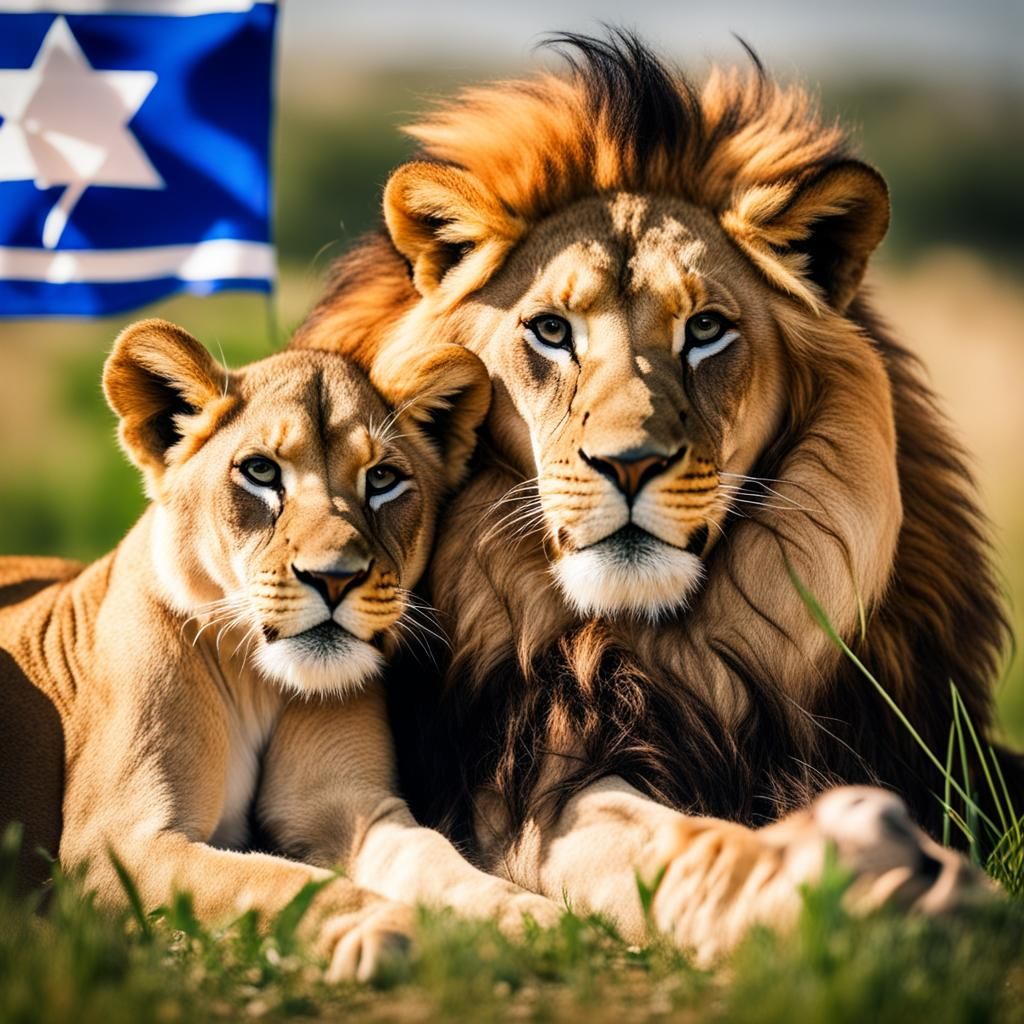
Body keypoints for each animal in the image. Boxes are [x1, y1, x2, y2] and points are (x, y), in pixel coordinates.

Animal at [0, 318, 558, 981]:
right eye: (261, 473)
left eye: (382, 479)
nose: (335, 578)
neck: (258, 680)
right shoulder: (115, 844)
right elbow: (271, 883)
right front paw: (383, 925)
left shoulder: (351, 806)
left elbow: (434, 856)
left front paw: (524, 916)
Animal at [293, 33, 1019, 960]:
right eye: (551, 331)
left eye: (705, 330)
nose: (630, 464)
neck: (668, 644)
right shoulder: (522, 787)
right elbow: (675, 842)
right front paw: (858, 884)